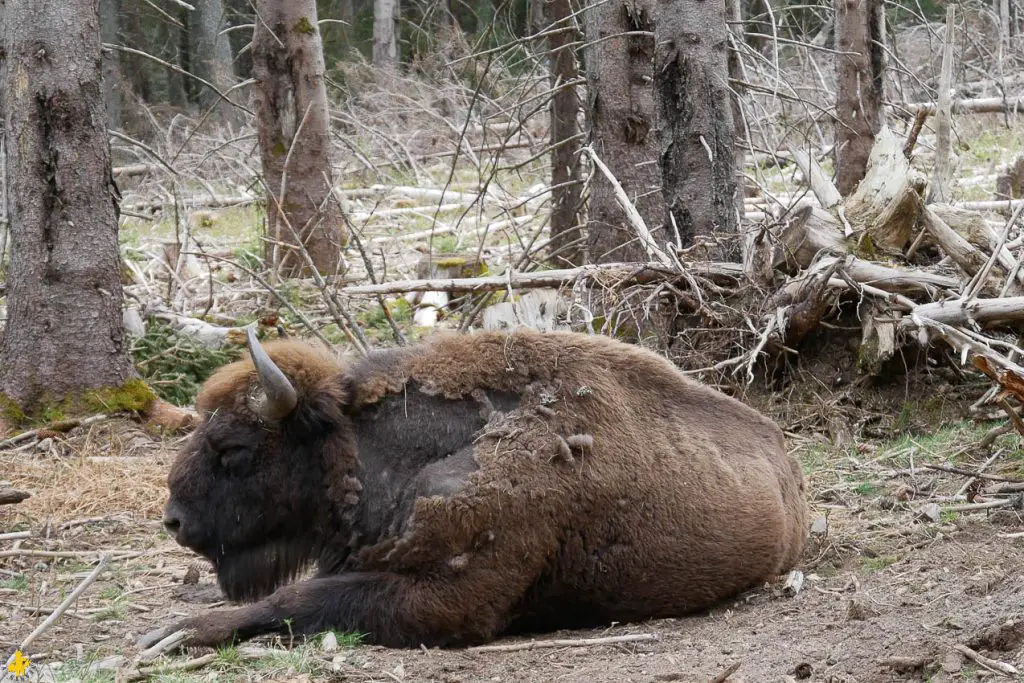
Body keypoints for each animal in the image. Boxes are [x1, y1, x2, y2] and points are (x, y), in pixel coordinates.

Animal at [142, 329, 806, 651]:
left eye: (233, 449)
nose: (174, 520)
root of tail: (784, 454)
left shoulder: (447, 601)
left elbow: (298, 599)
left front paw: (172, 634)